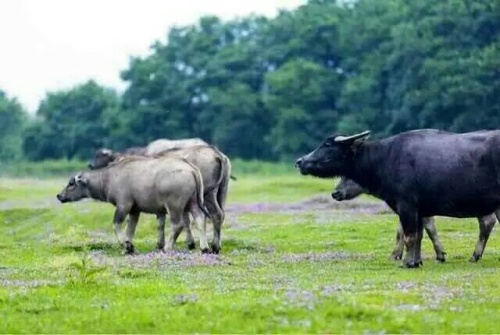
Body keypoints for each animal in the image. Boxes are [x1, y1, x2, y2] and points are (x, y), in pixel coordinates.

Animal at [57, 156, 213, 256]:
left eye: (71, 184)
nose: (59, 196)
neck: (109, 178)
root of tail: (190, 168)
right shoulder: (134, 210)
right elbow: (130, 229)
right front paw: (129, 247)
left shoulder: (123, 205)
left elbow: (116, 225)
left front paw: (125, 246)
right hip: (192, 203)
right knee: (200, 220)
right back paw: (204, 248)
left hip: (174, 206)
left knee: (178, 225)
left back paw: (167, 247)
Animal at [88, 145, 232, 255]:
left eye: (100, 156)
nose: (90, 165)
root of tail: (216, 153)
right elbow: (168, 221)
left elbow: (168, 222)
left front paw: (162, 244)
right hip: (220, 193)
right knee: (219, 215)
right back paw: (215, 246)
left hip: (207, 195)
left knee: (214, 215)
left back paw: (213, 246)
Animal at [330, 177, 498, 264]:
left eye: (349, 177)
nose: (335, 193)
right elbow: (404, 231)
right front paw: (400, 255)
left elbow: (428, 229)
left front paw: (440, 255)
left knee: (487, 222)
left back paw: (475, 255)